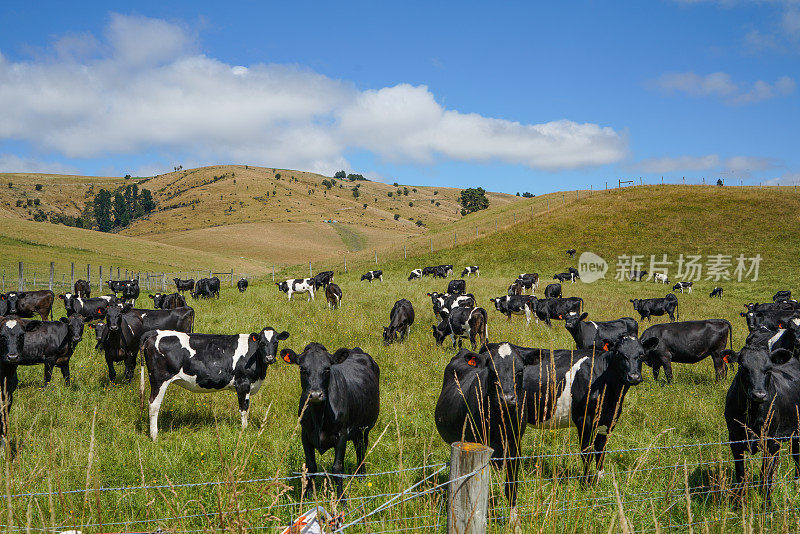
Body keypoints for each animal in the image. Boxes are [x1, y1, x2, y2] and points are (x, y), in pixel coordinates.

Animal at [142, 324, 290, 442]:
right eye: (262, 343)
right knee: (153, 405)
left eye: (276, 342)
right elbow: (244, 408)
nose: (270, 358)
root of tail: (155, 332)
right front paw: (244, 430)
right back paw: (154, 436)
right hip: (159, 380)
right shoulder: (243, 383)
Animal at [282, 346, 382, 500]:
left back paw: (361, 476)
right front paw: (309, 496)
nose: (315, 395)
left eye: (327, 369)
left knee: (361, 451)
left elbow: (337, 468)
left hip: (364, 429)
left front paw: (341, 499)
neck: (319, 417)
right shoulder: (305, 435)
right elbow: (311, 466)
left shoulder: (342, 435)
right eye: (302, 369)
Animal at [520, 340, 656, 486]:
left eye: (641, 354)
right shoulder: (585, 420)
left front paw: (600, 480)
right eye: (619, 353)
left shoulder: (608, 421)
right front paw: (586, 483)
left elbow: (601, 451)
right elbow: (587, 453)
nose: (634, 376)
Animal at [724, 342, 800, 504]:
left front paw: (767, 503)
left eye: (769, 369)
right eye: (743, 367)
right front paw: (740, 504)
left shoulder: (772, 443)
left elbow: (766, 475)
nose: (759, 395)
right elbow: (741, 475)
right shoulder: (735, 440)